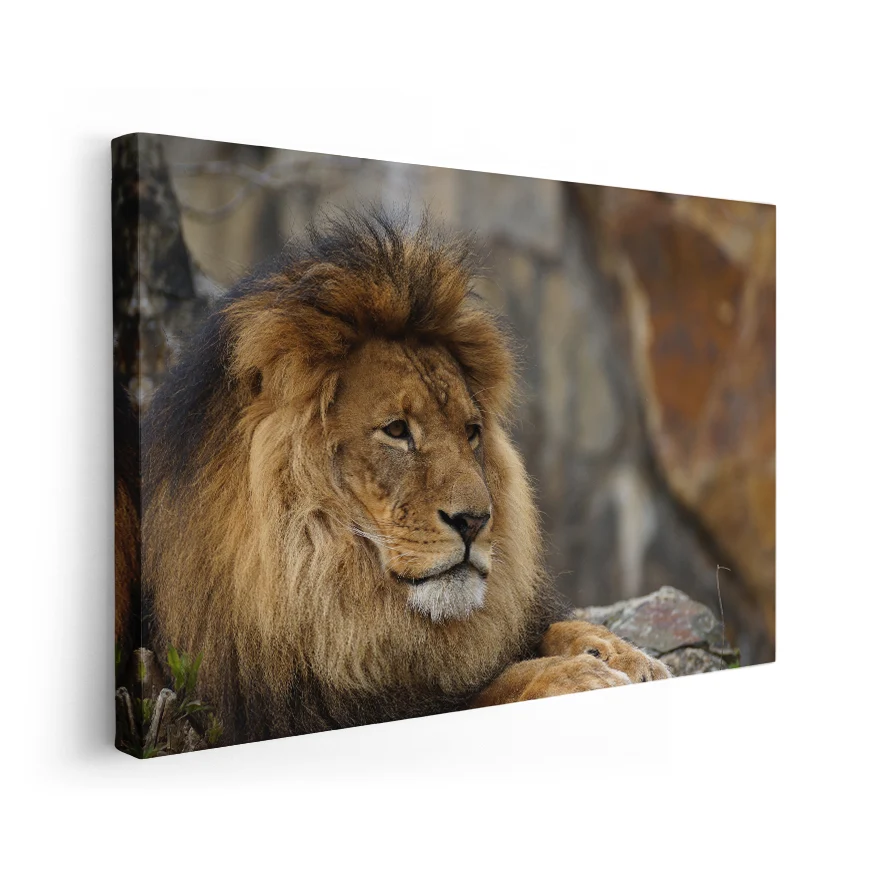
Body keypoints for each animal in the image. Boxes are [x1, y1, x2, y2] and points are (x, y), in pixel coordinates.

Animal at [142, 209, 670, 745]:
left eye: (471, 432)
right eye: (396, 430)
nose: (475, 521)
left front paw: (622, 654)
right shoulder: (292, 711)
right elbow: (480, 695)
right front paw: (574, 675)